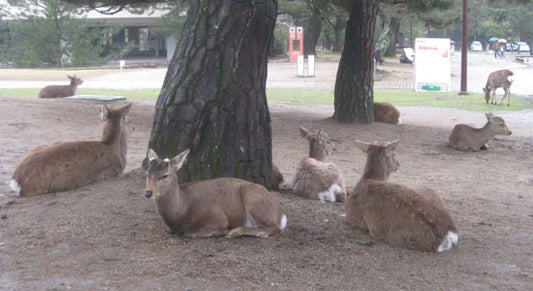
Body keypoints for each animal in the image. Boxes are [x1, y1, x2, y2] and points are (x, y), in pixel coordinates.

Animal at [143, 149, 286, 238]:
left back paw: (234, 232)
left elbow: (190, 232)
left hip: (254, 200)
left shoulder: (217, 215)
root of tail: (281, 214)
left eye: (165, 175)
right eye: (147, 173)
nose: (148, 192)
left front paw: (222, 231)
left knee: (275, 228)